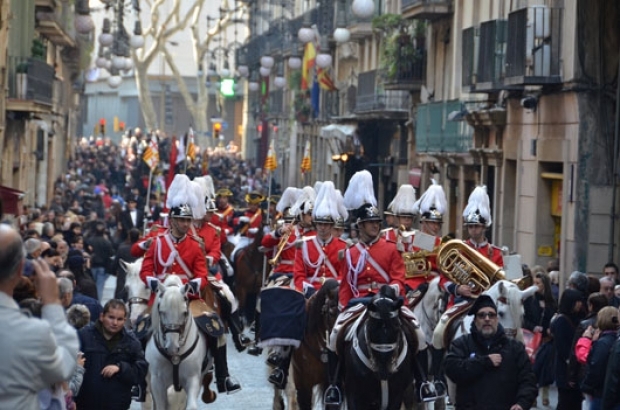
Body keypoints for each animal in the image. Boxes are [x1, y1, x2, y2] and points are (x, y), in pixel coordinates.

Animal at [146, 276, 208, 410]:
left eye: (184, 313)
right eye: (161, 311)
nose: (172, 347)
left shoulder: (193, 378)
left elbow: (190, 406)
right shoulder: (157, 381)